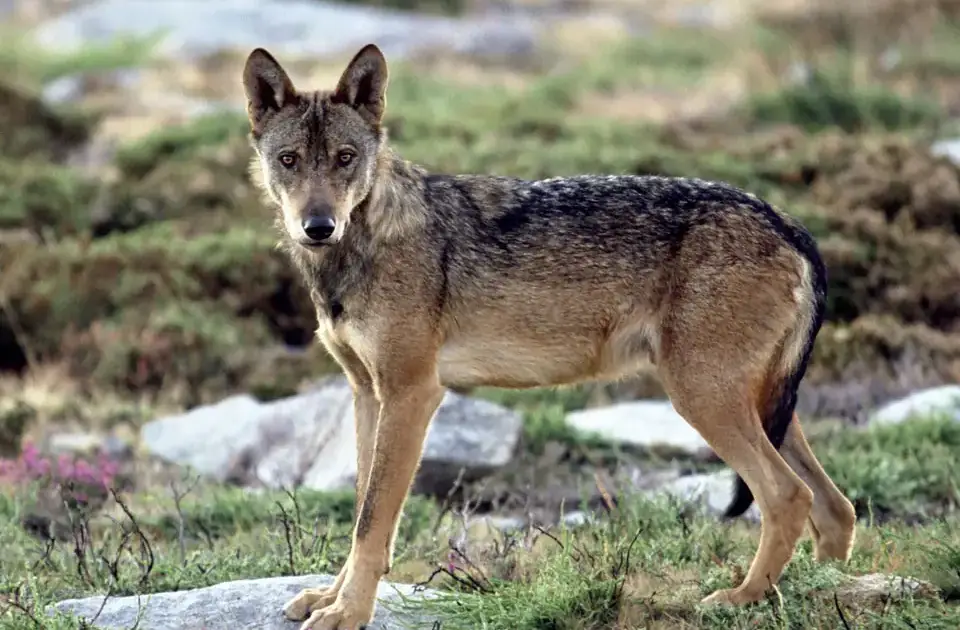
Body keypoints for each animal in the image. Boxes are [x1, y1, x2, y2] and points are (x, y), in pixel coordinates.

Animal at [241, 43, 858, 629]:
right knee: (836, 509)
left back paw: (741, 598)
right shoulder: (368, 394)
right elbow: (360, 513)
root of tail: (788, 223)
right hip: (756, 403)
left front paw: (348, 613)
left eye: (345, 159)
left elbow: (373, 521)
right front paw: (330, 597)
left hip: (703, 398)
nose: (318, 226)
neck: (358, 249)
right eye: (289, 161)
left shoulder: (412, 394)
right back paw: (822, 591)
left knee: (789, 496)